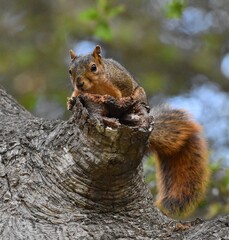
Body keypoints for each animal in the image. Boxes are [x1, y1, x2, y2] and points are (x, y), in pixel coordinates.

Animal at [66, 45, 209, 218]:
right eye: (70, 71)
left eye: (93, 67)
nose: (79, 83)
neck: (96, 87)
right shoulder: (81, 92)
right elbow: (76, 96)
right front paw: (71, 101)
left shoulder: (120, 80)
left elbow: (123, 92)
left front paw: (117, 99)